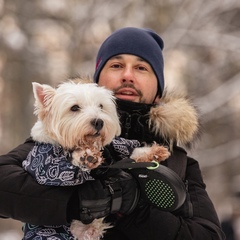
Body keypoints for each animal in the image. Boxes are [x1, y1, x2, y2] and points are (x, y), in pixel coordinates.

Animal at [23, 78, 171, 239]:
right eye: (74, 107)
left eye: (101, 106)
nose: (99, 122)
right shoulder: (45, 167)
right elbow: (63, 172)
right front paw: (85, 156)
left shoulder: (116, 147)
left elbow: (128, 149)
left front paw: (153, 152)